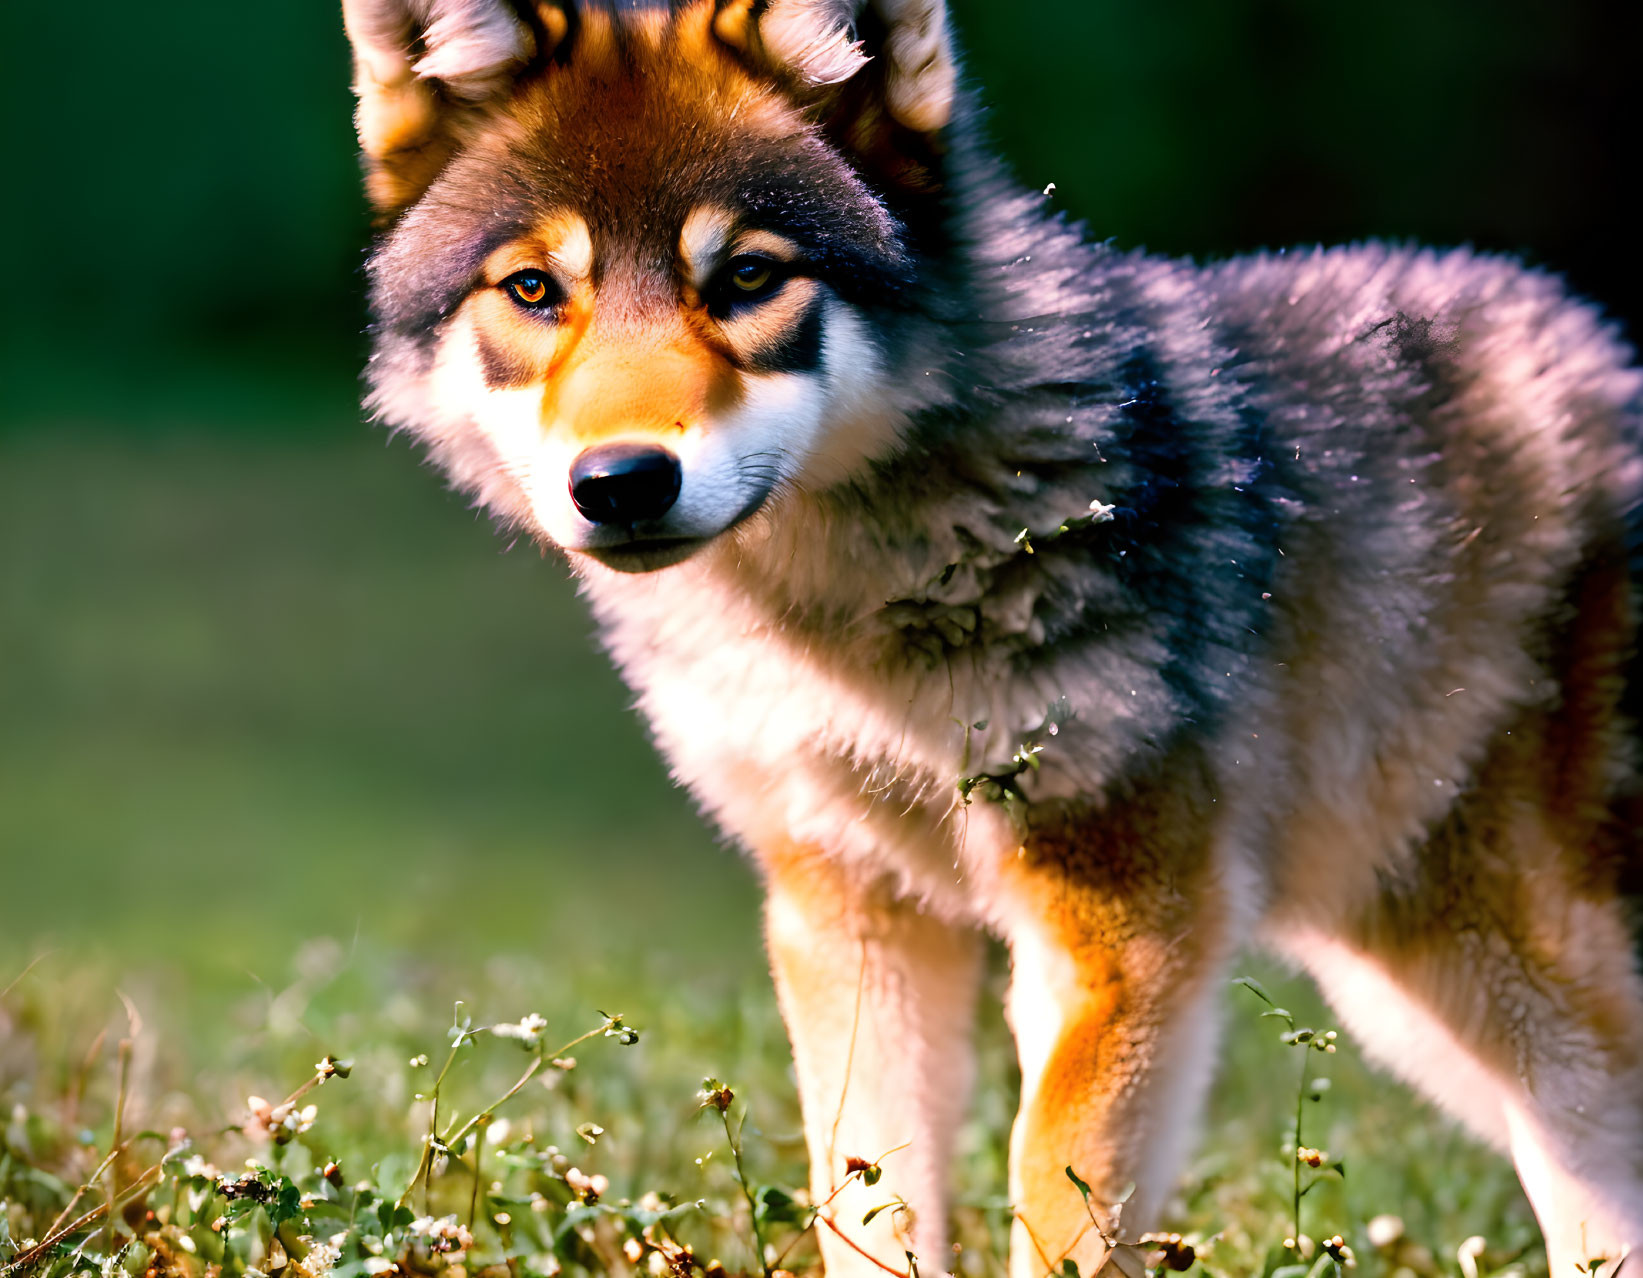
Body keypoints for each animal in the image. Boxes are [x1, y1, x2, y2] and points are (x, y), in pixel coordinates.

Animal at [340, 0, 1643, 1268]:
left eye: (749, 276)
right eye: (531, 291)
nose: (619, 482)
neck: (841, 615)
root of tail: (1601, 348)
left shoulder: (1116, 927)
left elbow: (1053, 1201)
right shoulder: (848, 907)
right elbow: (866, 1207)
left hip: (1509, 974)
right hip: (1423, 991)